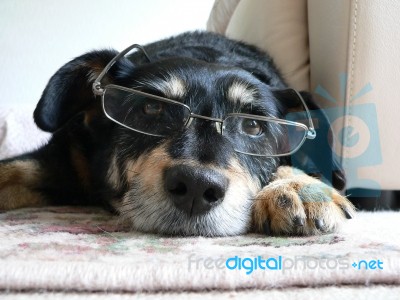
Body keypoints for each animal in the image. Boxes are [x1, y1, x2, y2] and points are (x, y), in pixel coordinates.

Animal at [0, 31, 354, 237]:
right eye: (151, 108)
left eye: (253, 125)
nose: (196, 186)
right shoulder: (64, 159)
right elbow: (11, 169)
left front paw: (299, 188)